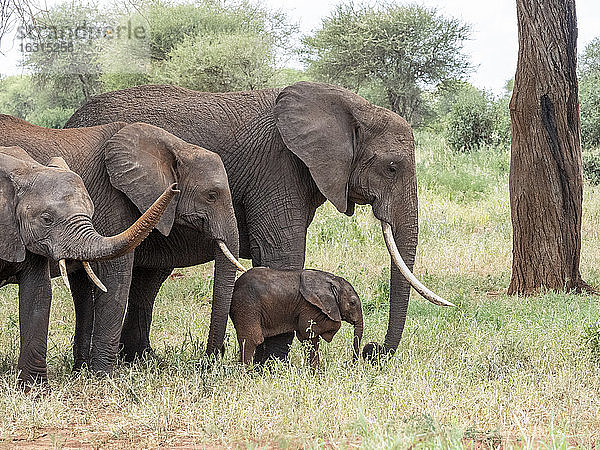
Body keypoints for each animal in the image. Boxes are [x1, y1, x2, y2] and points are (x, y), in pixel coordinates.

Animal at [230, 268, 364, 366]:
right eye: (352, 303)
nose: (351, 365)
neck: (332, 280)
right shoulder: (310, 307)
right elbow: (308, 330)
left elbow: (308, 337)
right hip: (247, 306)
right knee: (250, 340)